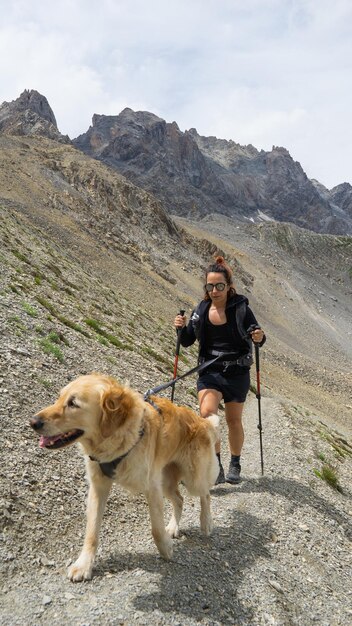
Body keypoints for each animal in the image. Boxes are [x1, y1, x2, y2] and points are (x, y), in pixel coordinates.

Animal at [32, 370, 220, 580]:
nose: (33, 422)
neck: (119, 441)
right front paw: (84, 564)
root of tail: (202, 421)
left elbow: (156, 529)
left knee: (206, 495)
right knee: (180, 499)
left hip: (192, 477)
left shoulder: (151, 487)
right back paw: (173, 527)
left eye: (73, 403)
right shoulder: (98, 486)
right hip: (166, 481)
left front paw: (165, 550)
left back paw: (206, 523)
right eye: (59, 397)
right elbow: (91, 531)